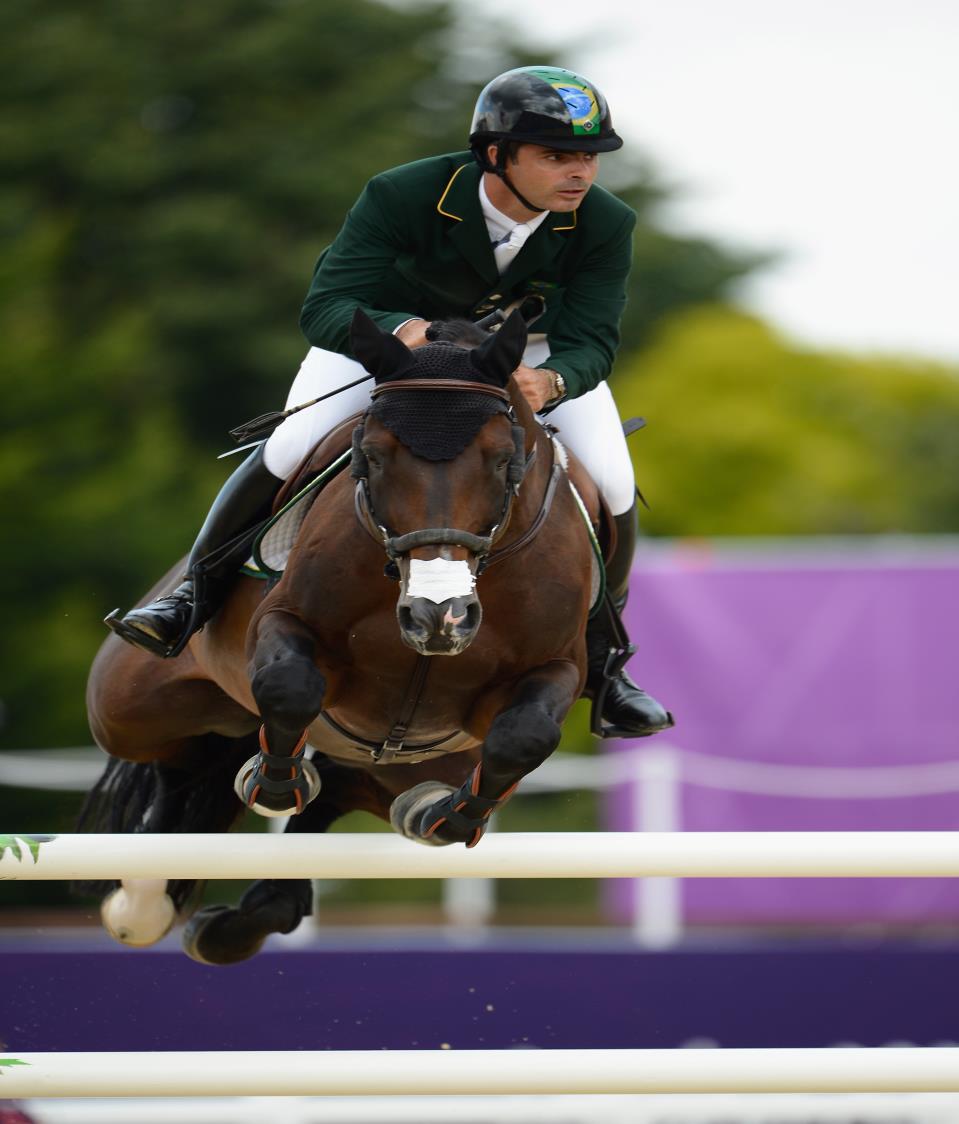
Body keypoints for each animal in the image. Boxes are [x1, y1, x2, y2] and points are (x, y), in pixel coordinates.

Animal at [80, 310, 598, 966]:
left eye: (503, 458)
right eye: (371, 456)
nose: (439, 617)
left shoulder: (556, 669)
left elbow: (524, 734)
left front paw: (451, 819)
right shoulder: (284, 623)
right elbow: (289, 686)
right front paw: (274, 784)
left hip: (404, 760)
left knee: (335, 789)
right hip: (128, 708)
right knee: (180, 762)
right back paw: (143, 895)